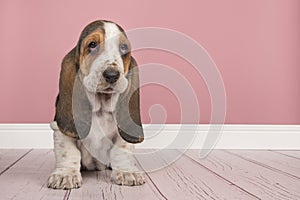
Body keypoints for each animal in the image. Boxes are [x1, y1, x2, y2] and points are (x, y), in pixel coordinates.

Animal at [47, 19, 145, 189]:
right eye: (92, 45)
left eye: (123, 48)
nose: (112, 75)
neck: (101, 108)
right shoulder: (60, 131)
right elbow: (68, 151)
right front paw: (65, 175)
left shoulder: (121, 137)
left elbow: (121, 150)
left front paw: (127, 172)